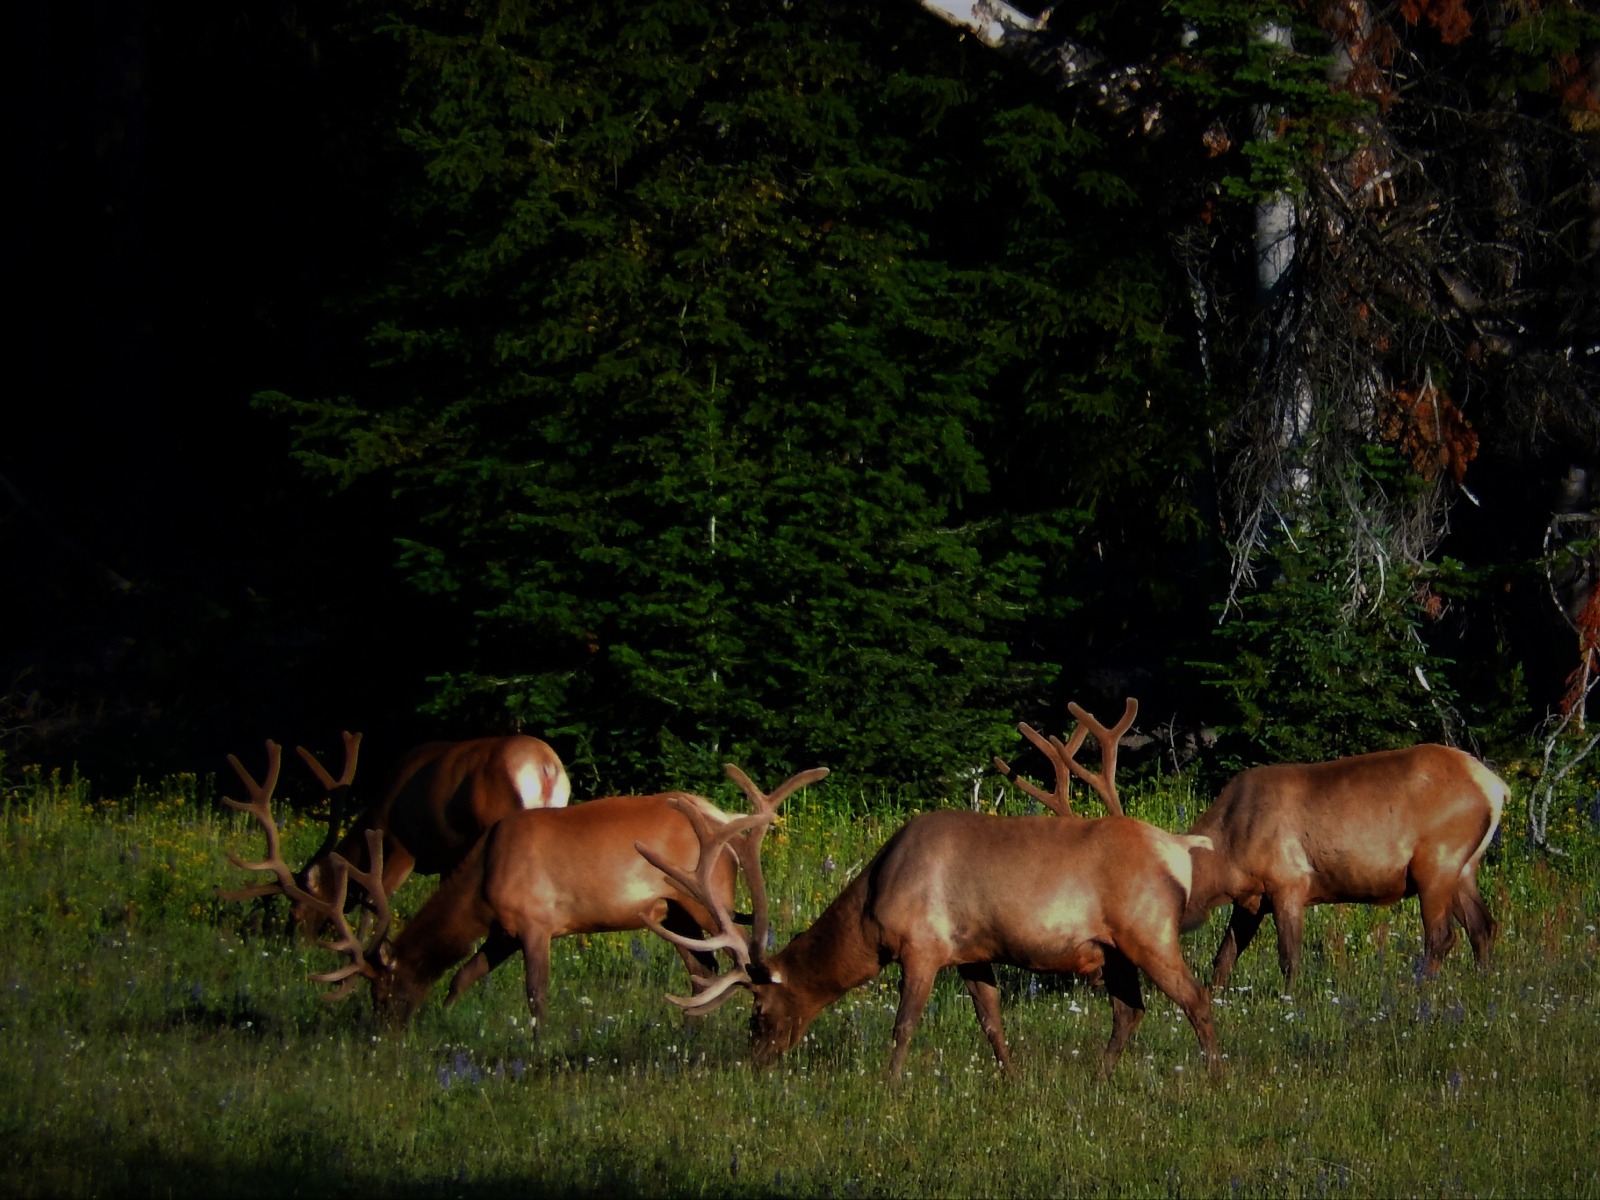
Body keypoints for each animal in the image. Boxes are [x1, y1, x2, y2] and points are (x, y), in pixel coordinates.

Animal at [217, 742, 825, 1036]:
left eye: (382, 990)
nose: (380, 1032)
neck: (483, 881)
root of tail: (725, 821)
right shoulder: (503, 929)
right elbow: (463, 976)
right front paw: (447, 1018)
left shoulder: (536, 921)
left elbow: (536, 995)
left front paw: (536, 1047)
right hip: (673, 911)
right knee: (701, 969)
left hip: (703, 901)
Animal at [643, 761, 1216, 1081]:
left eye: (759, 1010)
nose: (755, 1062)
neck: (871, 911)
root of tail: (1182, 848)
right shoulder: (972, 953)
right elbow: (992, 1023)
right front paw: (1012, 1080)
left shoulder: (922, 946)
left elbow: (904, 1025)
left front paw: (889, 1087)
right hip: (1113, 949)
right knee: (1130, 1010)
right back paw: (1098, 1079)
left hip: (1148, 931)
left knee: (1196, 998)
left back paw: (1217, 1079)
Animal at [998, 700, 1510, 992]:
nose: (1101, 975)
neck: (1227, 856)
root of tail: (1494, 785)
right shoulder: (1251, 899)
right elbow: (1223, 960)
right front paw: (1216, 997)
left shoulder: (1289, 882)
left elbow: (1289, 958)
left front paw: (1291, 1003)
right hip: (1465, 866)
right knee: (1483, 928)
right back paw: (1485, 991)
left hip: (1437, 860)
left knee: (1442, 936)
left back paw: (1422, 994)